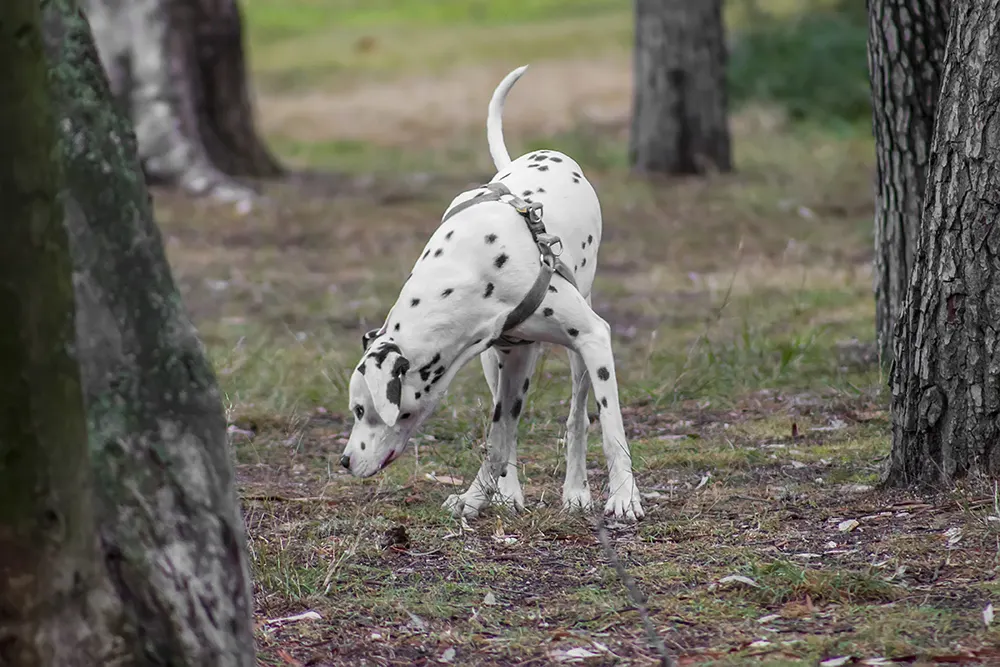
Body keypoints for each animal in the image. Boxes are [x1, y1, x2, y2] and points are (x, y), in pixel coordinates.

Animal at [340, 64, 644, 520]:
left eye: (361, 409)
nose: (344, 461)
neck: (470, 269)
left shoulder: (592, 338)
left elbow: (611, 430)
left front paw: (624, 496)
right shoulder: (510, 358)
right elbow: (498, 439)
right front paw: (476, 496)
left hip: (581, 354)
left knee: (577, 418)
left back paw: (577, 490)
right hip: (498, 364)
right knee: (511, 430)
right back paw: (509, 493)